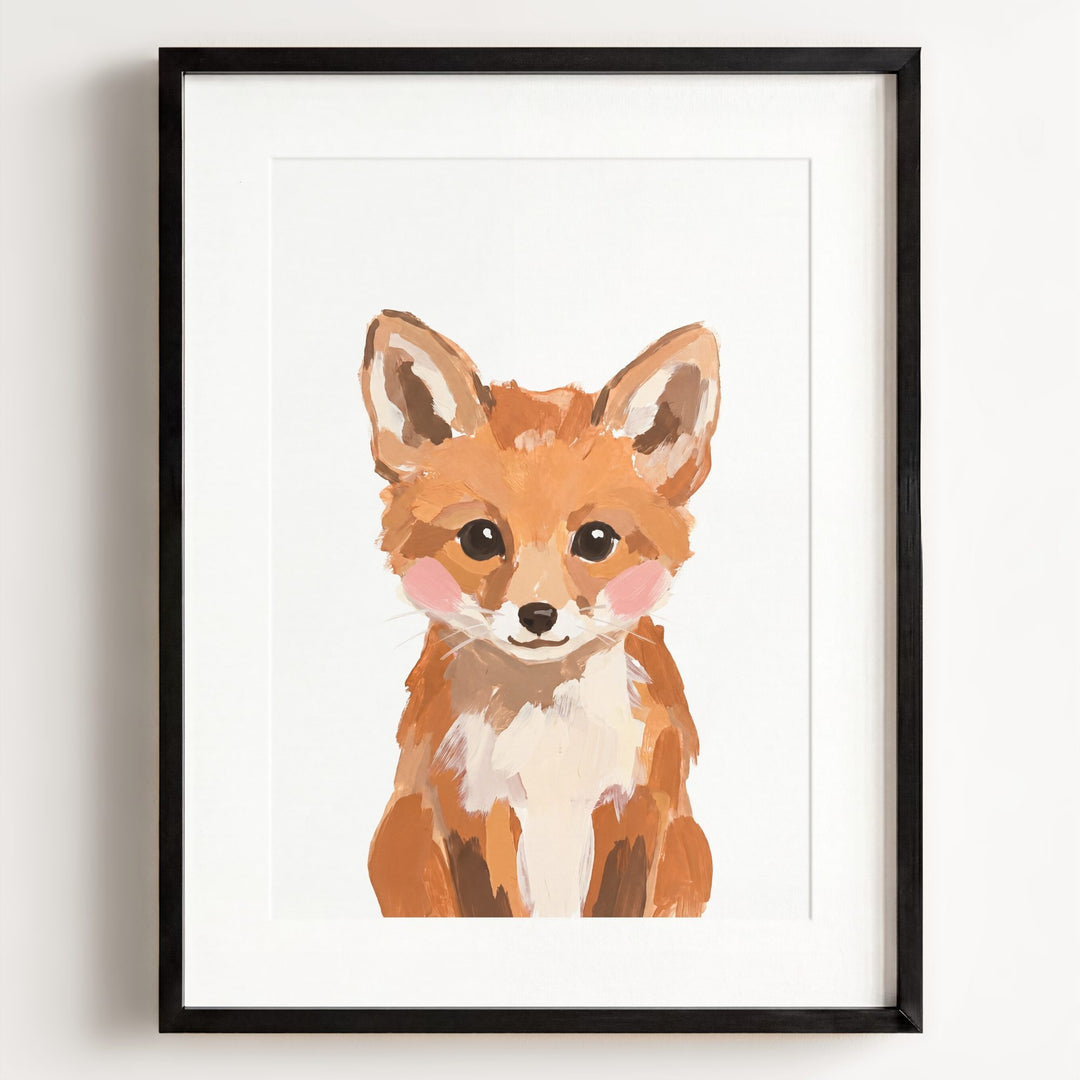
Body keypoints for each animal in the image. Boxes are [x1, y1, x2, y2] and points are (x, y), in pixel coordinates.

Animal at [359, 310, 720, 918]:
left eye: (595, 540)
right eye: (480, 538)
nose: (537, 614)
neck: (549, 746)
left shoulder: (637, 819)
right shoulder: (477, 820)